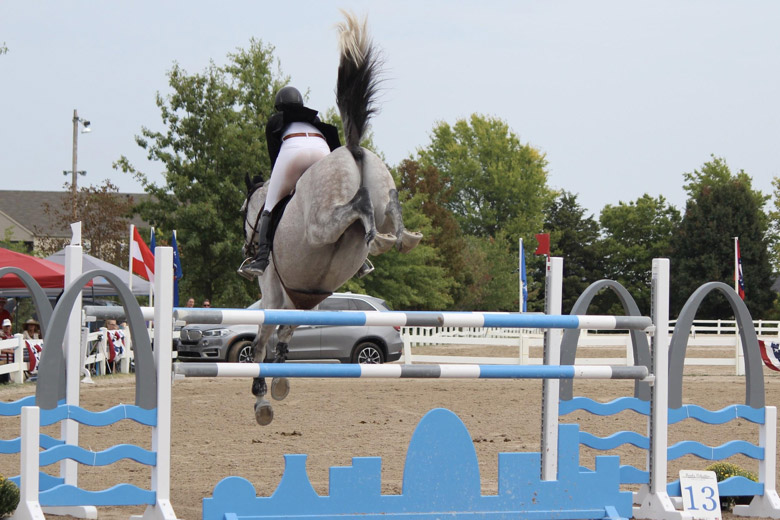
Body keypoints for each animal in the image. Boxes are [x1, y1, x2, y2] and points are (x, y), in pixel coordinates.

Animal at [241, 12, 422, 425]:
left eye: (243, 214)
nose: (247, 248)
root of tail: (352, 151)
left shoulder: (272, 293)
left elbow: (260, 343)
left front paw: (262, 400)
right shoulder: (300, 300)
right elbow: (285, 336)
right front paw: (279, 385)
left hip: (322, 224)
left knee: (357, 210)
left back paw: (380, 237)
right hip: (381, 187)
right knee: (389, 207)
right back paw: (400, 239)